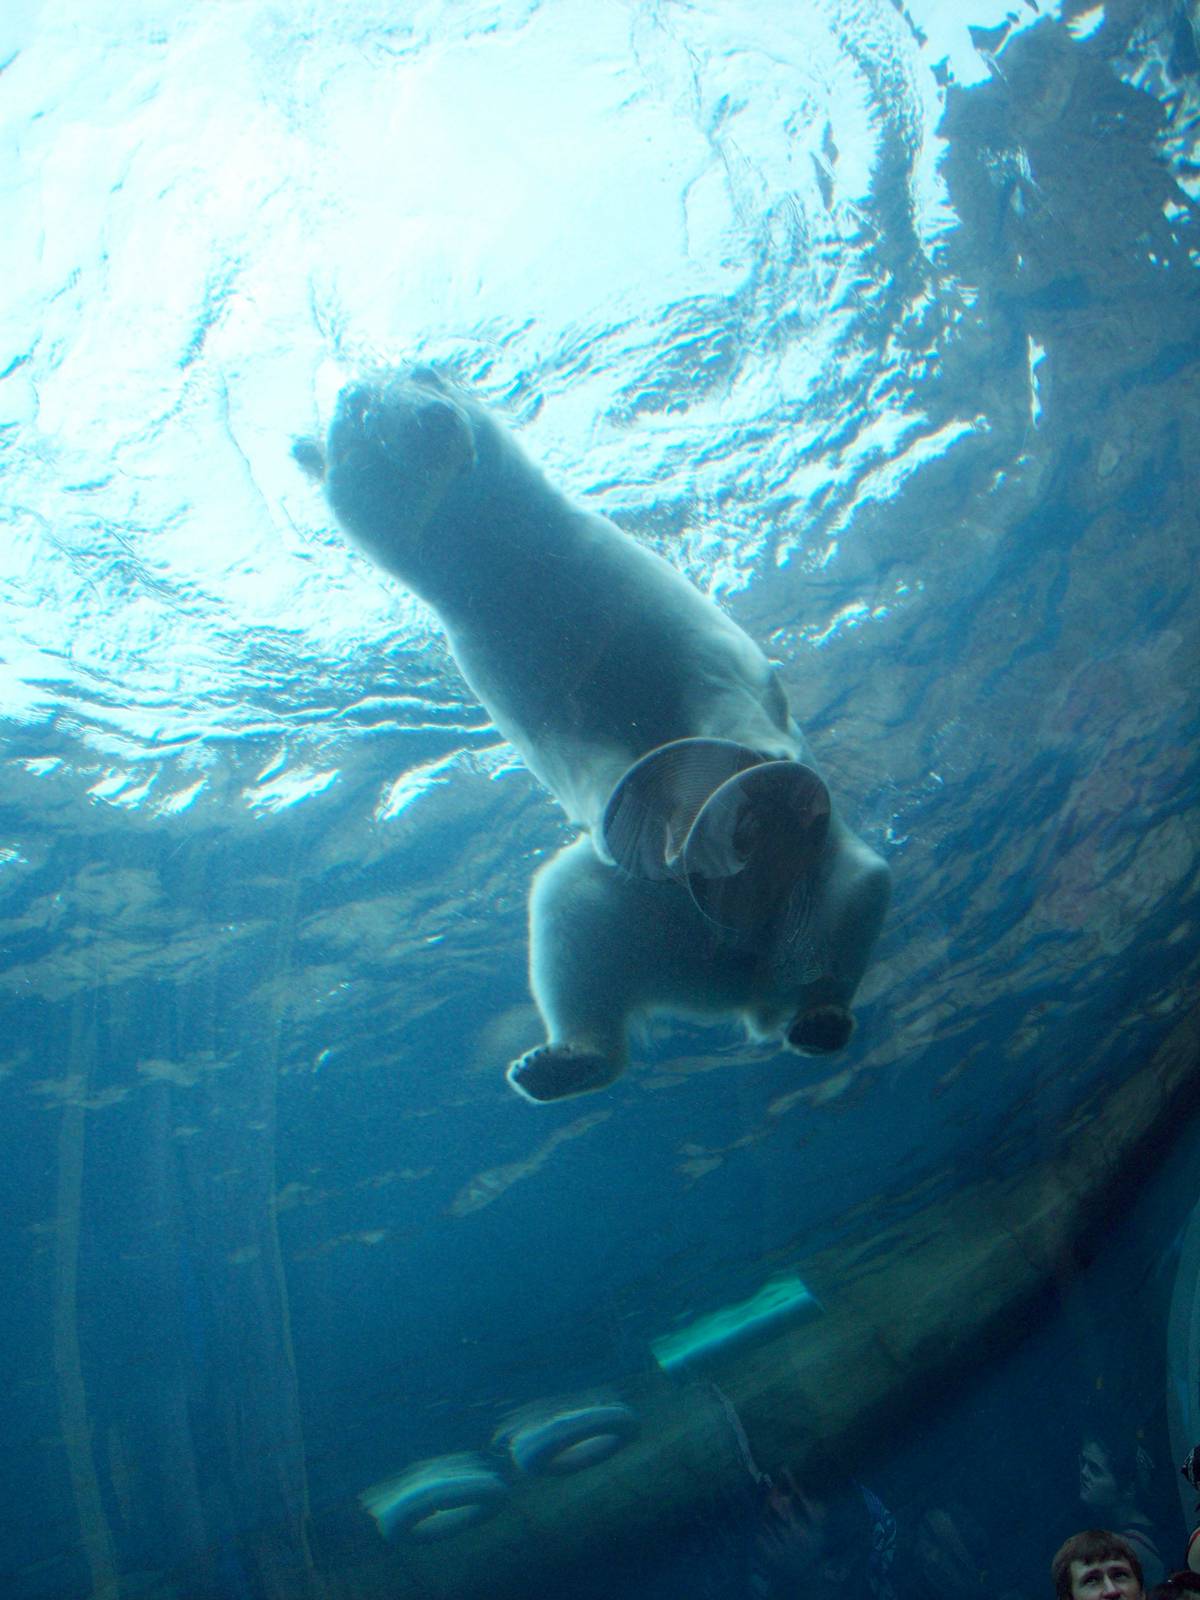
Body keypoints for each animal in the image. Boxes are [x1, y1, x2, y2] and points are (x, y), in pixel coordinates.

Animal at [295, 364, 890, 1103]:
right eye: (356, 409)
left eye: (428, 373)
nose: (431, 419)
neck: (517, 568)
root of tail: (734, 983)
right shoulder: (505, 660)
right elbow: (570, 749)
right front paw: (627, 806)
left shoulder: (622, 582)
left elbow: (716, 671)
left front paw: (762, 752)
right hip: (636, 908)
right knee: (570, 927)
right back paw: (559, 1061)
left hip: (818, 875)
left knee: (854, 903)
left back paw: (820, 1015)